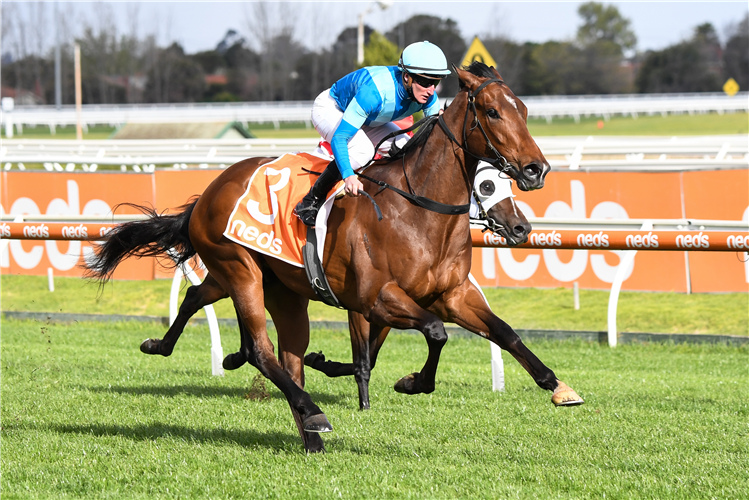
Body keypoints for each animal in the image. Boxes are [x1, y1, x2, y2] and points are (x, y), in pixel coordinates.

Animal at [84, 62, 580, 454]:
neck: (419, 210)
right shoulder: (375, 299)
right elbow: (434, 334)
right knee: (263, 350)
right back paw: (311, 412)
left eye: (525, 110)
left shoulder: (453, 294)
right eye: (493, 111)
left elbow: (505, 333)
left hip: (277, 289)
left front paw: (559, 387)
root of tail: (212, 188)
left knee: (252, 335)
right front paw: (413, 382)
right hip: (239, 270)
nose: (536, 170)